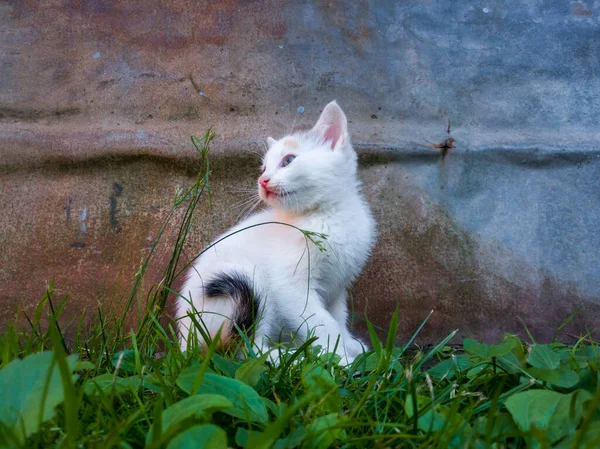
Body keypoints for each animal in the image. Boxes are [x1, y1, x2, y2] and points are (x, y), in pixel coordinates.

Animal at [176, 100, 378, 362]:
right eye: (263, 168)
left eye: (288, 160)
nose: (263, 180)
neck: (326, 213)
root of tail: (183, 341)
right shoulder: (290, 285)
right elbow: (322, 322)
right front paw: (338, 358)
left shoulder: (337, 286)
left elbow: (337, 317)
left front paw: (349, 345)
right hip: (246, 280)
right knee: (249, 351)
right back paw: (293, 359)